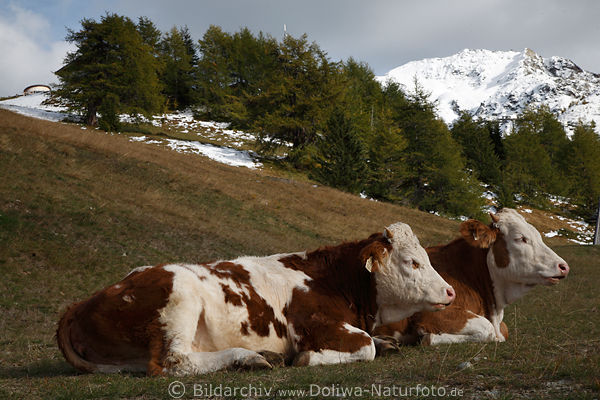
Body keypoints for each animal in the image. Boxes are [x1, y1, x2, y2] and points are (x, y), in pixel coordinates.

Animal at [57, 222, 454, 376]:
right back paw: (247, 358)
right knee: (173, 362)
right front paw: (308, 357)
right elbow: (363, 346)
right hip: (179, 296)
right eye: (413, 262)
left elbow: (375, 342)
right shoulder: (313, 325)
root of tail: (80, 304)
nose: (450, 291)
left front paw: (386, 343)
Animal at [376, 208, 572, 346]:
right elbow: (487, 329)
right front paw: (428, 337)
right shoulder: (429, 312)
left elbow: (502, 331)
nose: (563, 266)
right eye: (521, 238)